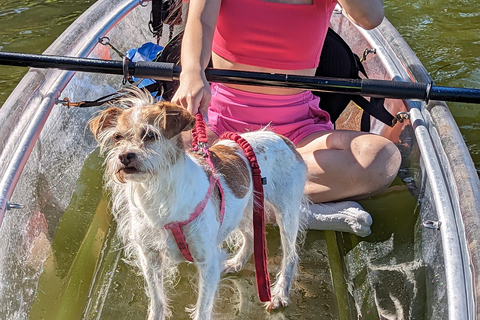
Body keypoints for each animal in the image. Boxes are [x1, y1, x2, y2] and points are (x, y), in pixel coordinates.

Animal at [89, 88, 308, 320]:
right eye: (117, 137)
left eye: (150, 135)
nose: (124, 156)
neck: (159, 194)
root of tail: (282, 138)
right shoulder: (150, 258)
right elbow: (157, 300)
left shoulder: (208, 263)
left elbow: (203, 308)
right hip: (238, 209)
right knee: (250, 234)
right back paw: (237, 262)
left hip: (286, 213)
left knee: (291, 255)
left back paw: (280, 293)